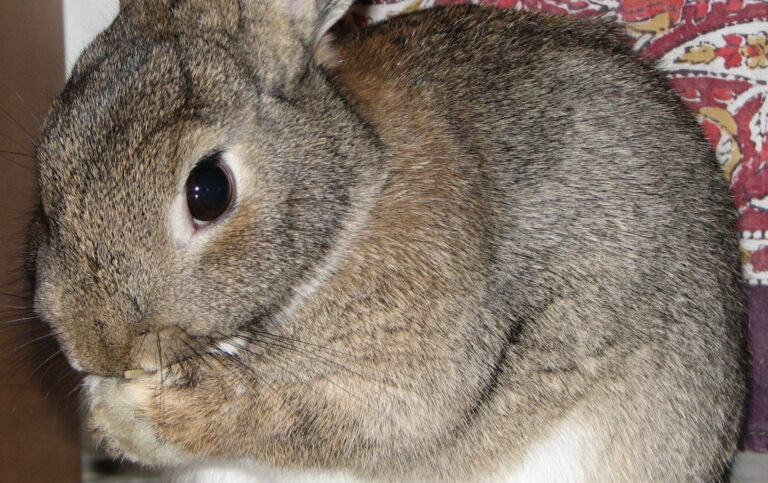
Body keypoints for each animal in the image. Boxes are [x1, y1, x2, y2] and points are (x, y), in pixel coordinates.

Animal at [28, 0, 747, 481]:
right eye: (47, 158)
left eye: (208, 190)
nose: (96, 347)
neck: (350, 202)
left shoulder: (402, 386)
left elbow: (305, 416)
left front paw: (145, 410)